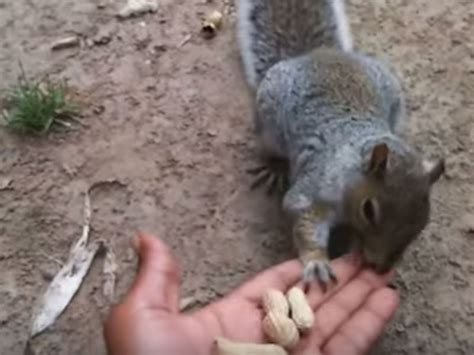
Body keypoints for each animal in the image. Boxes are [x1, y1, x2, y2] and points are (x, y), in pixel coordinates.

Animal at [237, 0, 444, 288]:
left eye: (423, 220)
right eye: (369, 210)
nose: (380, 267)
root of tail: (316, 54)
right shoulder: (312, 192)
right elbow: (304, 221)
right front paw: (316, 263)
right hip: (269, 122)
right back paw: (275, 168)